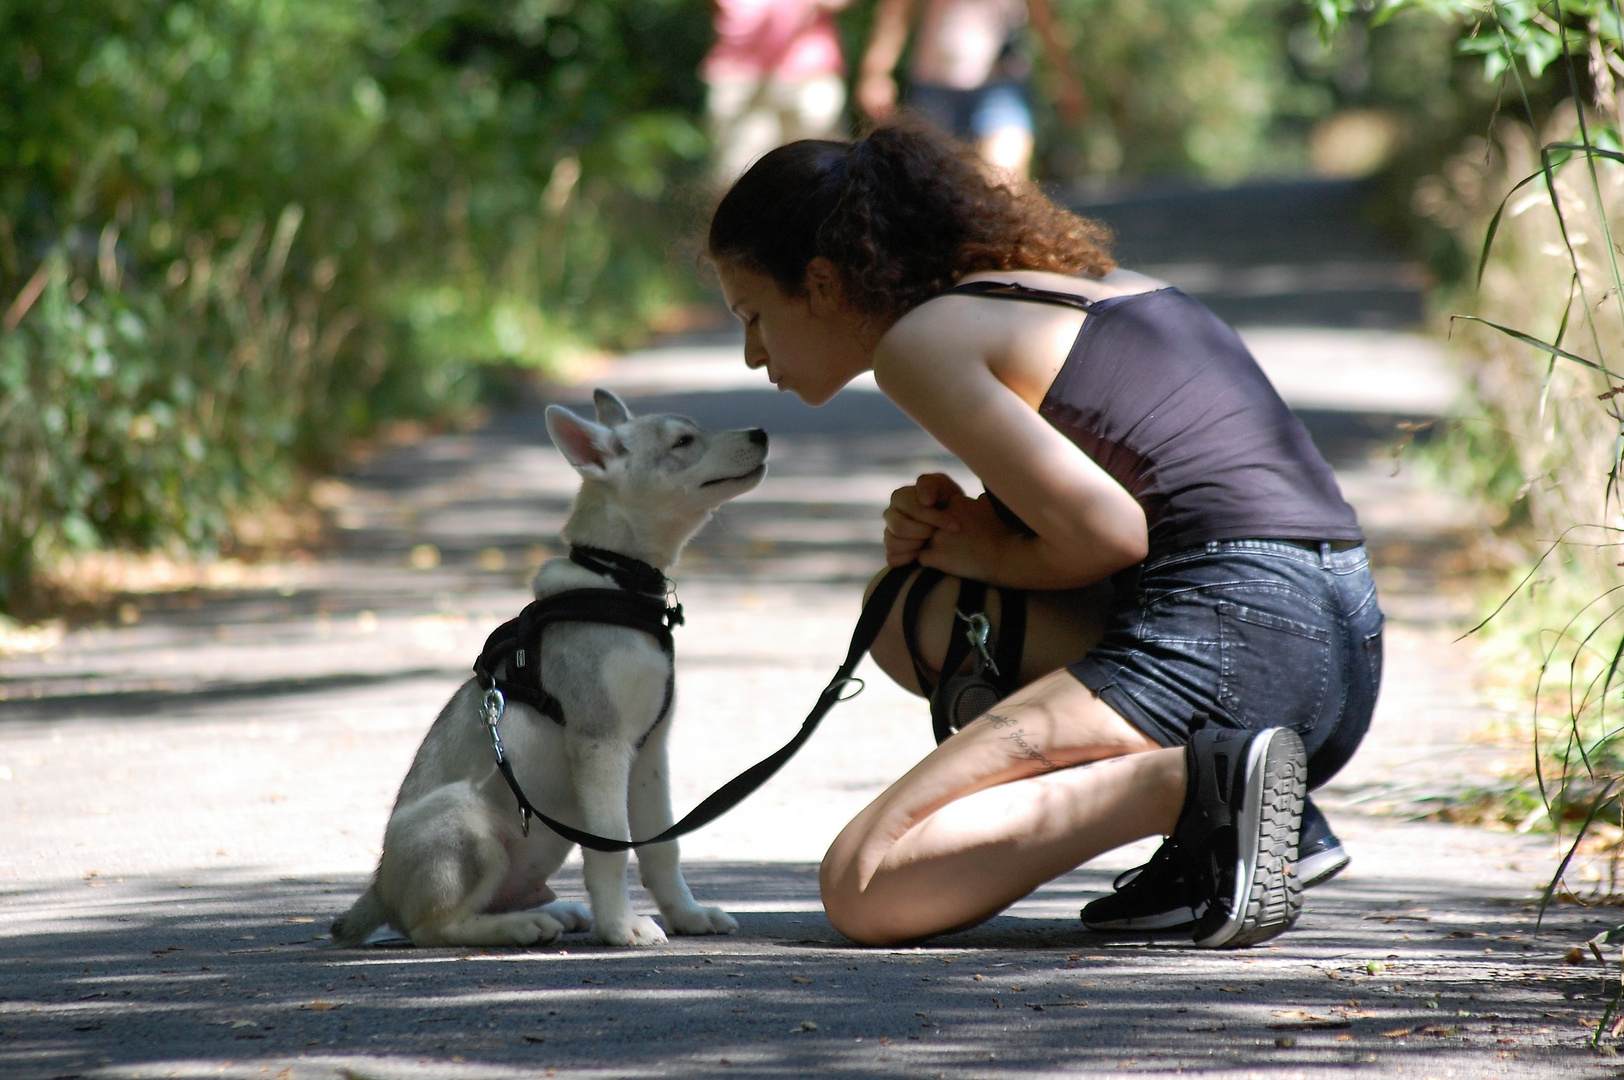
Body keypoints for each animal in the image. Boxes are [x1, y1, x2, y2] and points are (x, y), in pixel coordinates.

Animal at [332, 388, 769, 941]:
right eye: (682, 442)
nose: (762, 433)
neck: (618, 583)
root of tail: (379, 889)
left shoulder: (651, 752)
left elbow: (662, 846)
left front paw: (688, 915)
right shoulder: (601, 743)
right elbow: (610, 848)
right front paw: (621, 927)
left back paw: (554, 911)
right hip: (465, 817)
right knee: (434, 927)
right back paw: (519, 927)